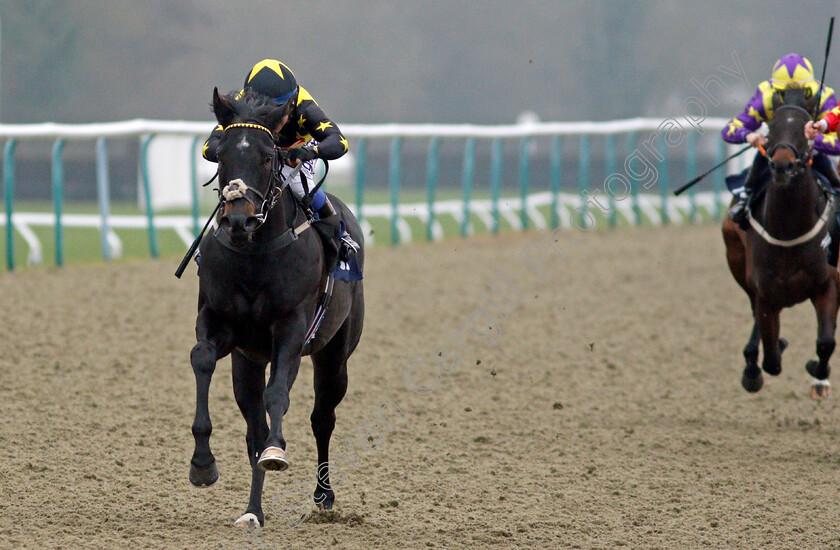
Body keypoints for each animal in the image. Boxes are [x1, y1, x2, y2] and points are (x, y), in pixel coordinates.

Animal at [189, 88, 364, 528]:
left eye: (269, 157)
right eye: (222, 157)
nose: (239, 221)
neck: (255, 255)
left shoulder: (291, 328)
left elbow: (279, 394)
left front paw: (277, 450)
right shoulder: (219, 323)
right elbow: (202, 359)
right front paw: (202, 463)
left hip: (335, 353)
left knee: (322, 418)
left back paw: (323, 495)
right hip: (247, 362)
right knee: (254, 426)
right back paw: (253, 511)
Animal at [720, 103, 840, 398]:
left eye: (804, 131)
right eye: (771, 129)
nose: (782, 165)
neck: (789, 231)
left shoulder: (828, 284)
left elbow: (826, 342)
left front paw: (818, 374)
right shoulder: (766, 292)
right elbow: (772, 358)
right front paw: (758, 365)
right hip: (736, 260)